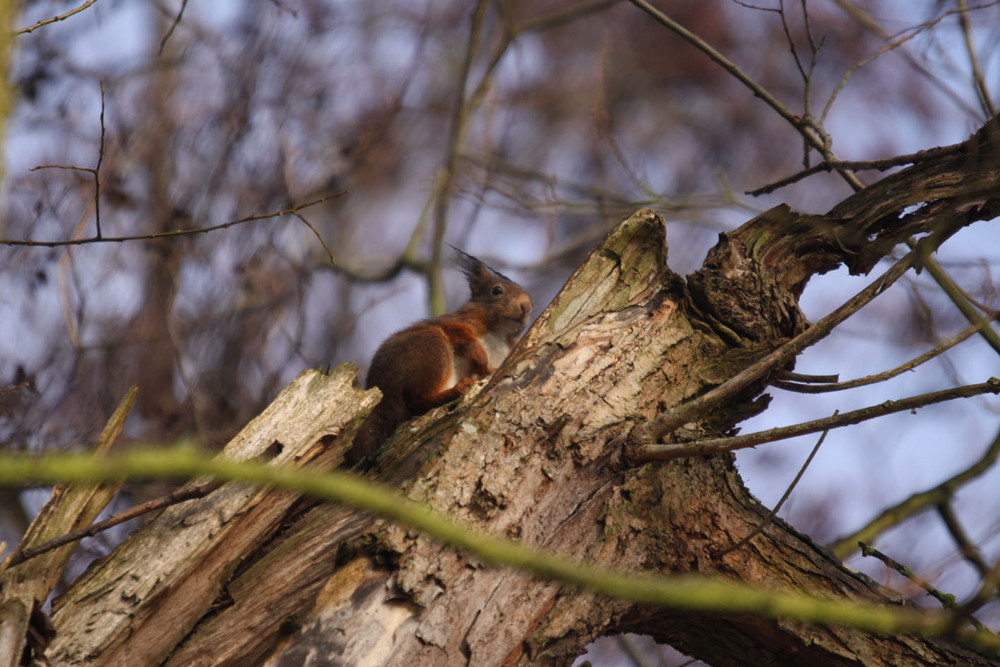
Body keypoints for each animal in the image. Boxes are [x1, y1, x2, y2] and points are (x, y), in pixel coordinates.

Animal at [344, 248, 532, 468]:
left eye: (531, 298)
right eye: (497, 290)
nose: (526, 306)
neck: (500, 334)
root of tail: (384, 393)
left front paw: (487, 368)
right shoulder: (455, 323)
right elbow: (464, 338)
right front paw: (484, 362)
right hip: (431, 349)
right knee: (417, 400)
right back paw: (457, 389)